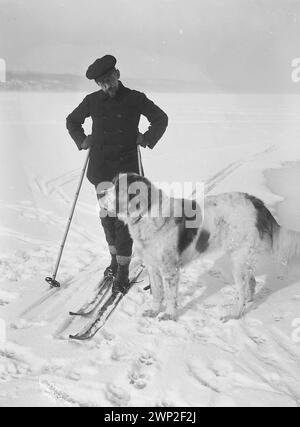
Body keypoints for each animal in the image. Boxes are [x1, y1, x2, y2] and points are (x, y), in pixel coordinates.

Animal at [99, 172, 300, 322]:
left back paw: (235, 313)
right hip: (242, 258)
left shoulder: (170, 270)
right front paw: (154, 311)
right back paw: (249, 301)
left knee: (242, 288)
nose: (99, 193)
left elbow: (170, 296)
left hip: (238, 259)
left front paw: (169, 315)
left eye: (118, 187)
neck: (146, 214)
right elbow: (156, 292)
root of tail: (255, 201)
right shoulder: (152, 266)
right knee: (250, 282)